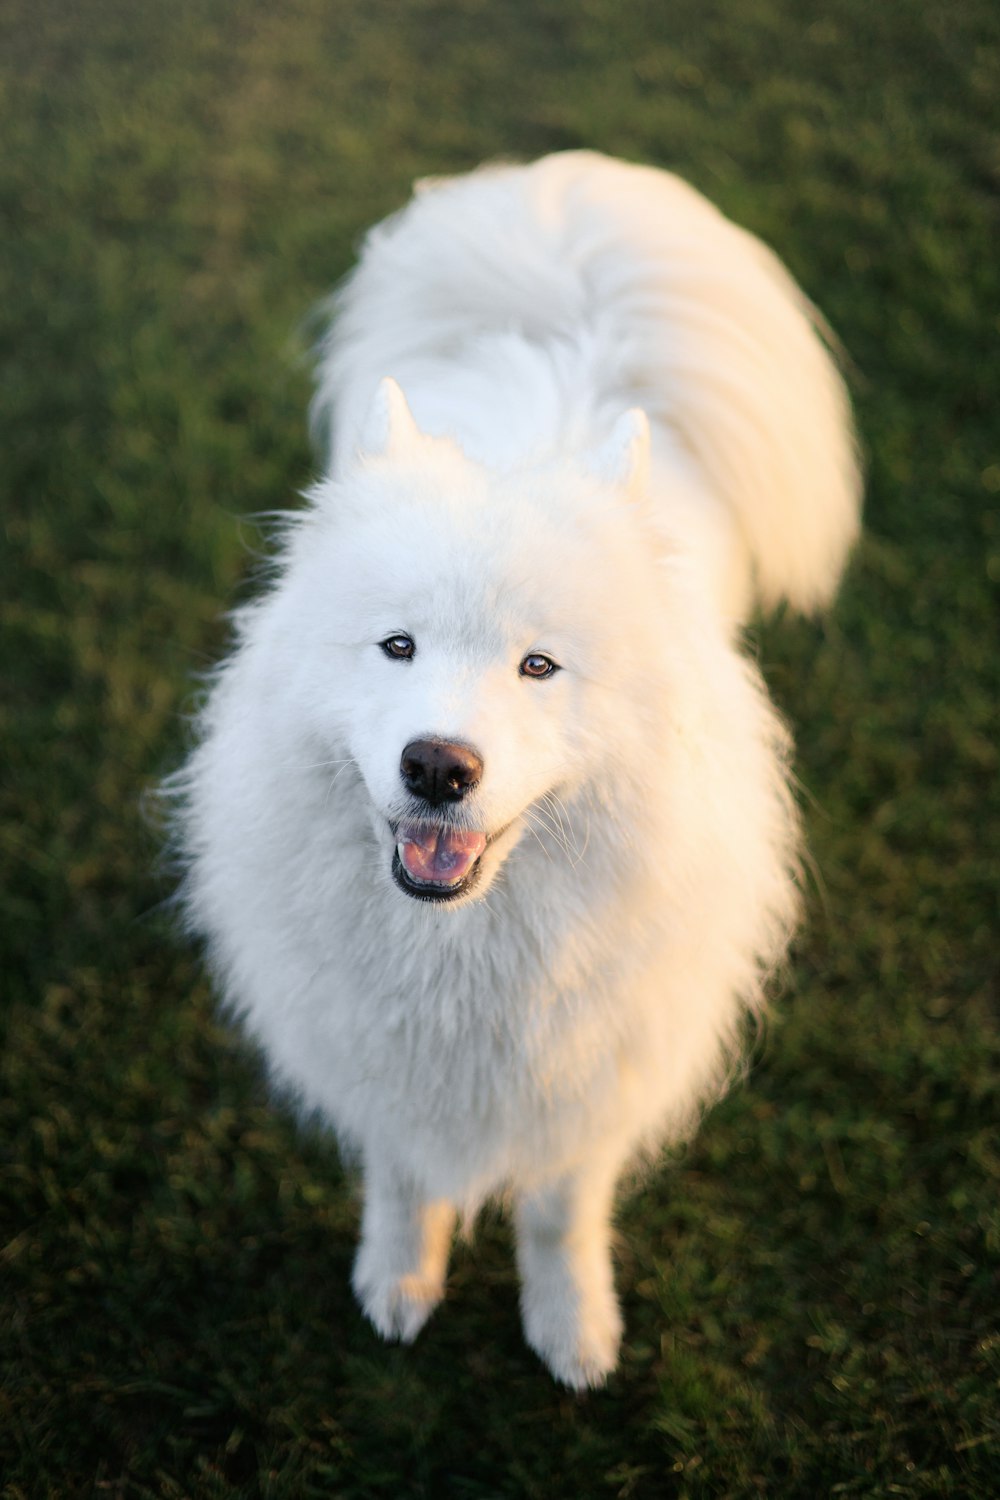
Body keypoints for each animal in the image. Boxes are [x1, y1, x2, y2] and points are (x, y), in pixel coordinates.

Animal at [172, 149, 863, 1380]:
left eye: (539, 666)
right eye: (397, 646)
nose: (439, 767)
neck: (467, 954)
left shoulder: (592, 1082)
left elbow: (556, 1212)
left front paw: (571, 1325)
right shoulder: (379, 1060)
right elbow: (405, 1180)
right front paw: (401, 1278)